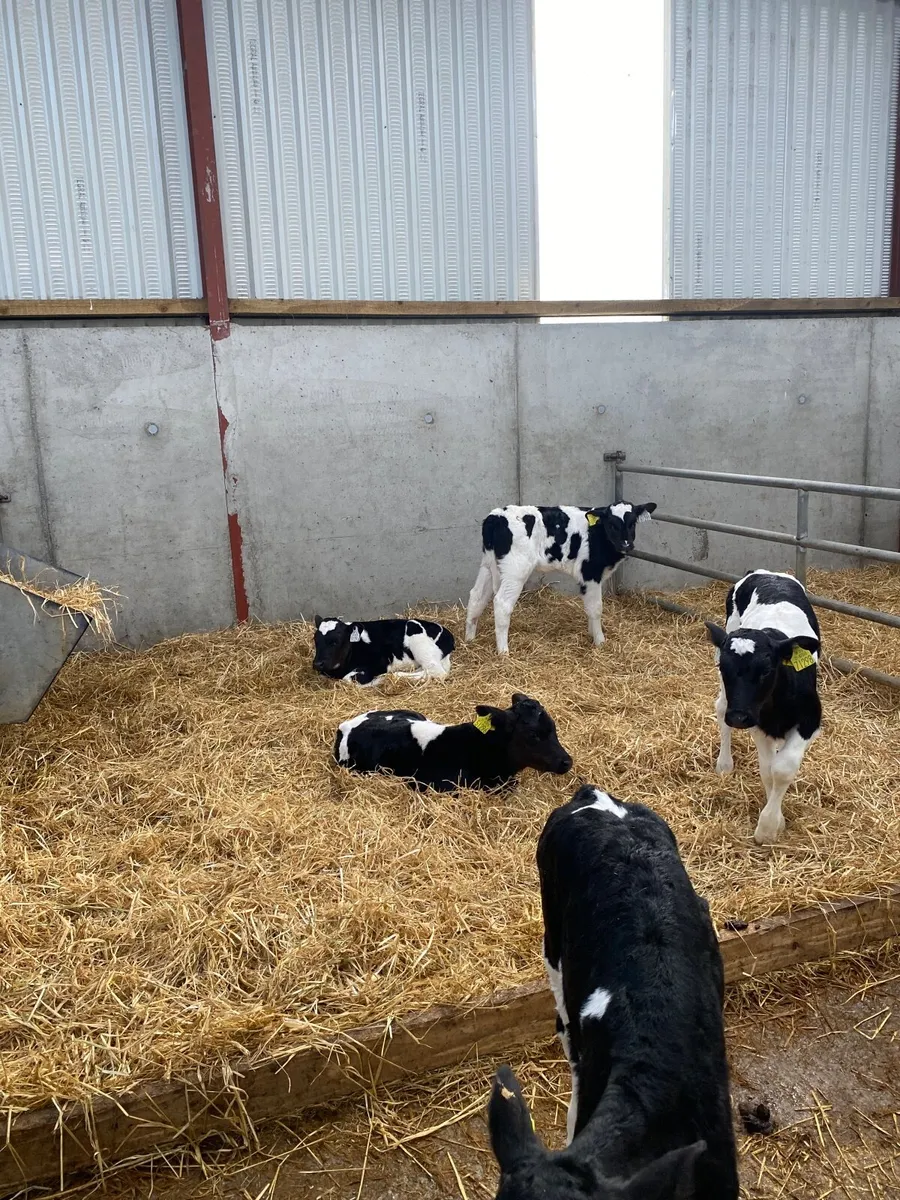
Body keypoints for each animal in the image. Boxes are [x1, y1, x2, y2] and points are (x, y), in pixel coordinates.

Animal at [313, 617, 454, 685]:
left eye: (335, 641)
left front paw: (378, 680)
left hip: (422, 647)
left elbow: (349, 679)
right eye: (316, 640)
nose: (317, 664)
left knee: (438, 673)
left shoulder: (379, 664)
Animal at [465, 502, 657, 654]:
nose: (627, 544)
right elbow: (596, 608)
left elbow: (589, 607)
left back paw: (469, 640)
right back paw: (503, 652)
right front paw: (600, 641)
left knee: (476, 596)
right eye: (612, 524)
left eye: (632, 523)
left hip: (488, 565)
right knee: (502, 603)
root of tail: (496, 516)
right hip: (515, 570)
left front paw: (591, 633)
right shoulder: (590, 573)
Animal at [705, 569, 822, 845]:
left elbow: (782, 768)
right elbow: (768, 770)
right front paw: (771, 826)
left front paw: (770, 825)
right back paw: (724, 764)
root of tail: (765, 573)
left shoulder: (810, 720)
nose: (738, 718)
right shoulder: (757, 723)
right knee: (720, 707)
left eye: (767, 670)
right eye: (723, 667)